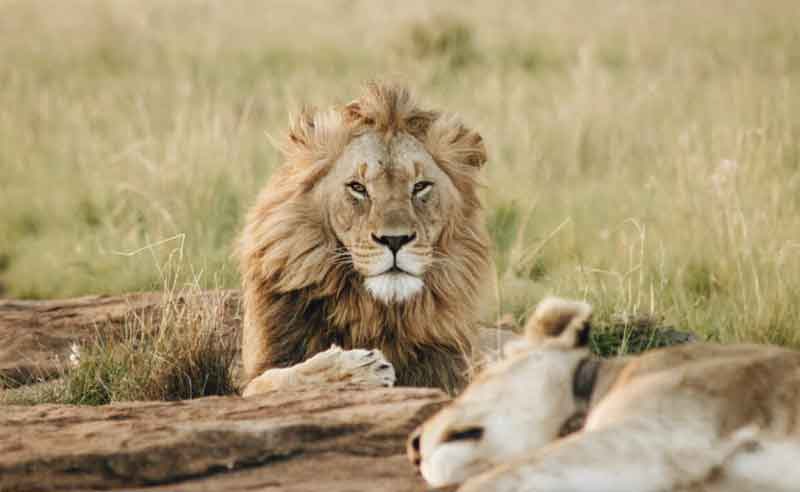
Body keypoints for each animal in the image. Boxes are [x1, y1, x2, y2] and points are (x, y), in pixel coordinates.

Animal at [237, 82, 496, 397]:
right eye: (357, 187)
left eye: (420, 186)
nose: (395, 240)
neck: (376, 313)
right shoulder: (257, 376)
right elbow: (275, 379)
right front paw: (359, 368)